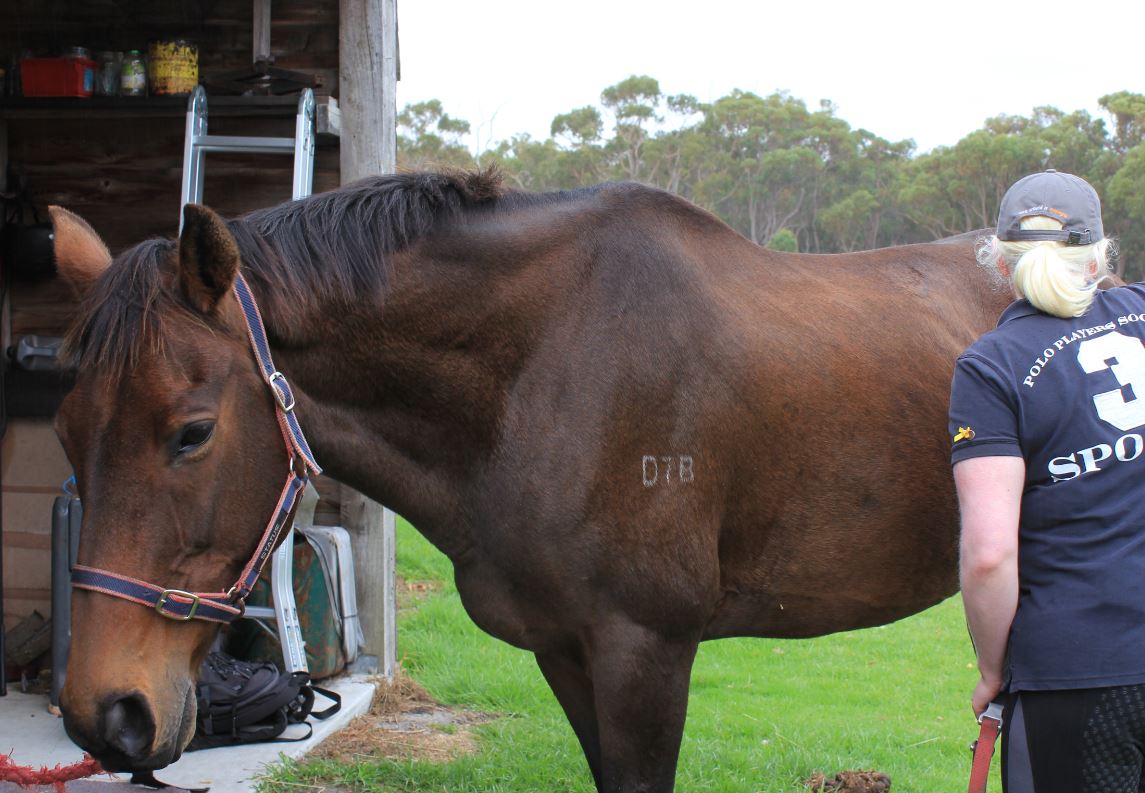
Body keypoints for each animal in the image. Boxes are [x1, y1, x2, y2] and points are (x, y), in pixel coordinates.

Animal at [49, 169, 1010, 792]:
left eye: (192, 432)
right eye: (64, 430)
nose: (107, 715)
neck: (546, 367)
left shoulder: (644, 650)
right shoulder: (565, 651)